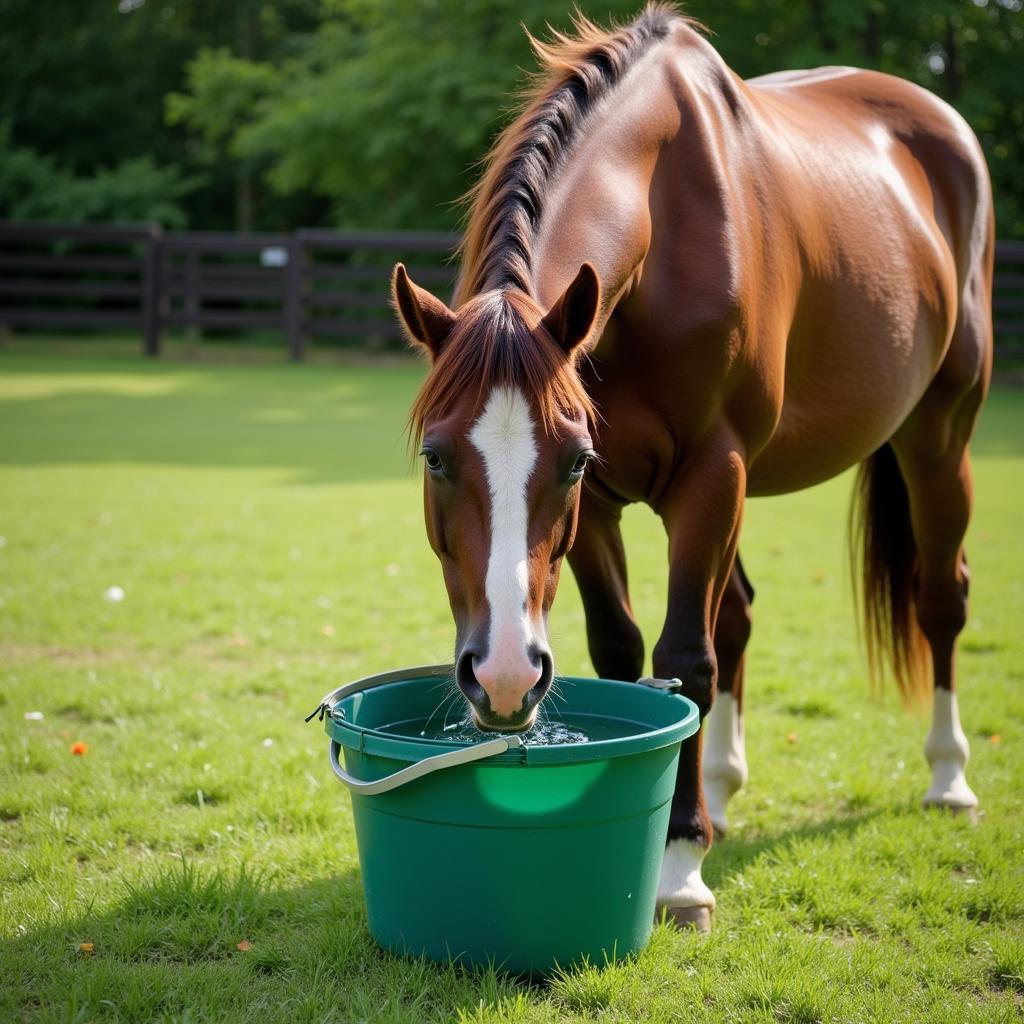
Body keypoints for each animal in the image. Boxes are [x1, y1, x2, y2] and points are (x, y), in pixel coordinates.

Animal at [389, 0, 991, 933]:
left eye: (567, 460)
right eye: (436, 457)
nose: (501, 678)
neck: (662, 227)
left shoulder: (706, 473)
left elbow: (685, 660)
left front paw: (679, 869)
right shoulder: (604, 507)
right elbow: (628, 652)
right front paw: (684, 813)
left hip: (937, 436)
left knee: (939, 599)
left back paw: (947, 775)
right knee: (737, 612)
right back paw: (721, 788)